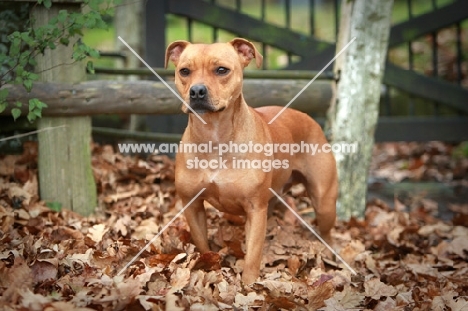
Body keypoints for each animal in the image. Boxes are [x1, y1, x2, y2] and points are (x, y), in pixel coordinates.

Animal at [165, 37, 336, 284]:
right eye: (184, 71)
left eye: (221, 70)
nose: (197, 91)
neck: (215, 135)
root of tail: (311, 120)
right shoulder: (192, 205)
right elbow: (202, 242)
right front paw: (210, 265)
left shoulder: (255, 209)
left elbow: (253, 253)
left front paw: (249, 284)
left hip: (324, 203)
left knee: (327, 232)